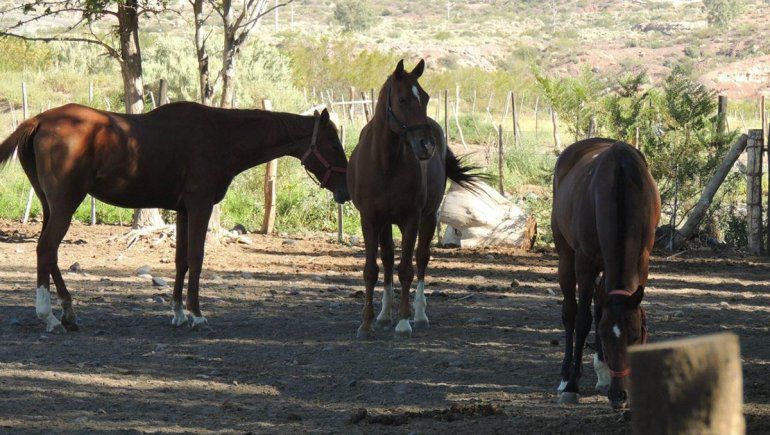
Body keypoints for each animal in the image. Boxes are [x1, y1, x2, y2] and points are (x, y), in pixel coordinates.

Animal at [0, 102, 349, 333]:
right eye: (333, 143)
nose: (346, 190)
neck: (221, 135)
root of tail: (40, 120)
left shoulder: (183, 210)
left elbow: (181, 260)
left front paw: (179, 312)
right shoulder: (200, 206)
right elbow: (196, 258)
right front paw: (196, 314)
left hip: (51, 206)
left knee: (50, 254)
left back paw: (68, 311)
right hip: (65, 205)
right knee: (46, 250)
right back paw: (49, 315)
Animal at [347, 59, 482, 339]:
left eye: (426, 98)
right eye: (402, 99)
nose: (427, 145)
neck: (385, 163)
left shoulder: (411, 219)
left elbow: (407, 270)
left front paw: (403, 321)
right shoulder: (370, 219)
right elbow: (372, 269)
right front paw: (366, 323)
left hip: (428, 218)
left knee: (421, 259)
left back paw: (418, 314)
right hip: (387, 224)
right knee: (388, 259)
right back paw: (384, 315)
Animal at [551, 138, 660, 409]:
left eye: (635, 336)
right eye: (604, 336)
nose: (619, 396)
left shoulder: (642, 261)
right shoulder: (585, 262)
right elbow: (582, 321)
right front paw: (572, 386)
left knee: (598, 304)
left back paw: (601, 373)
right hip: (567, 256)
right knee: (570, 313)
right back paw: (566, 376)